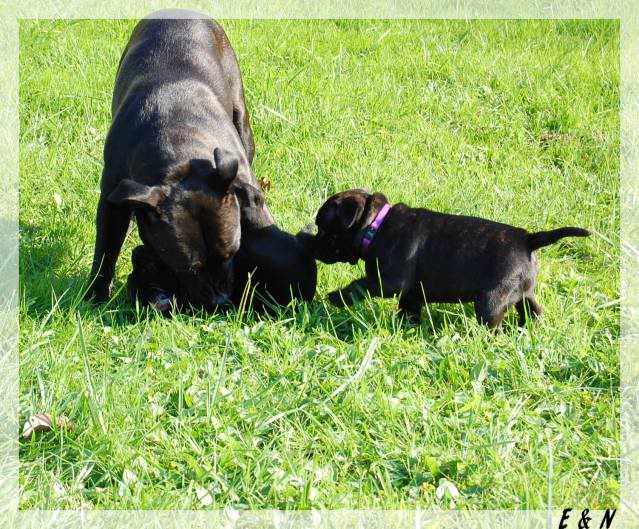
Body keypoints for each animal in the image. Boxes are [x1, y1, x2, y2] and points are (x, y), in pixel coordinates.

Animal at [85, 10, 316, 310]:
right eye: (189, 268)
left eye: (231, 253)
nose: (221, 299)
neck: (178, 155)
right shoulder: (111, 198)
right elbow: (106, 250)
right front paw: (95, 295)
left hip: (242, 119)